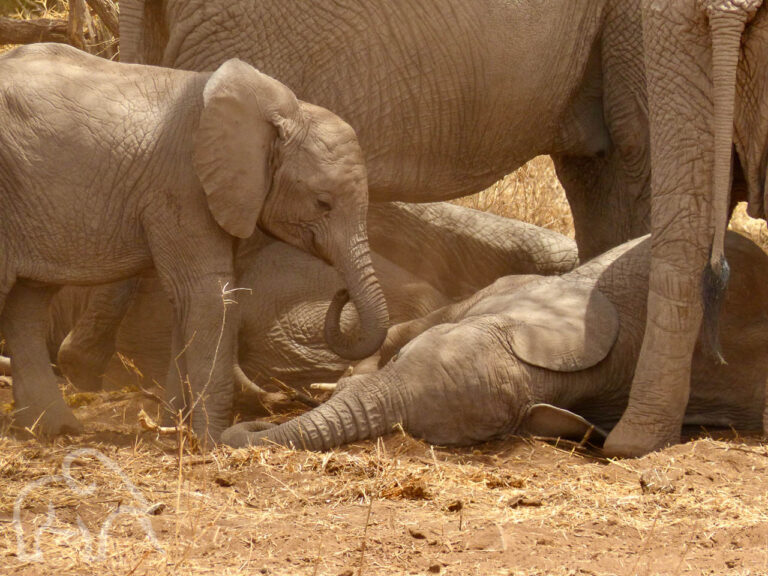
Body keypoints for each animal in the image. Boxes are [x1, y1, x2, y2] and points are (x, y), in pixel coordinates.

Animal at [0, 44, 388, 440]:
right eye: (323, 203)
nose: (341, 292)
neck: (283, 112)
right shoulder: (184, 185)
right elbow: (209, 295)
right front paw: (212, 440)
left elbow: (191, 301)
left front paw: (174, 429)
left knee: (28, 303)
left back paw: (52, 430)